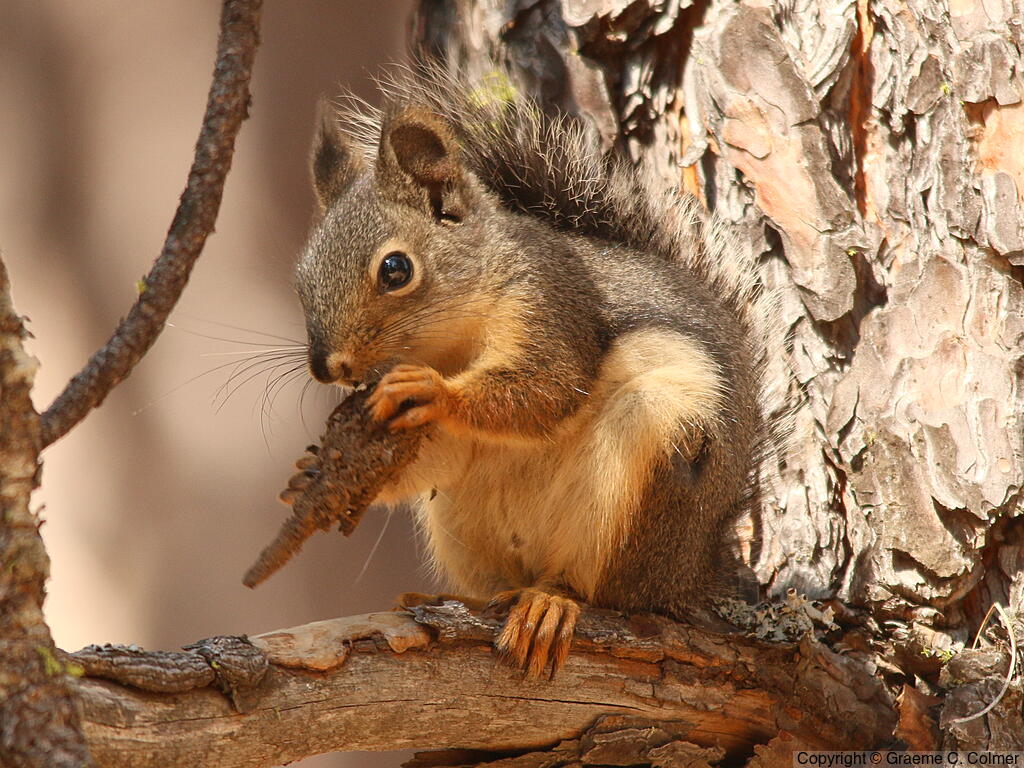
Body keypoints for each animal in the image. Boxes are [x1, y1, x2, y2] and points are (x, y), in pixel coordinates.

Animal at [294, 64, 783, 679]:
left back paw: (552, 603)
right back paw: (460, 597)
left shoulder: (550, 301)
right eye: (301, 275)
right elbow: (430, 455)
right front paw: (309, 472)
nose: (326, 367)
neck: (454, 342)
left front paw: (434, 391)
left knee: (600, 592)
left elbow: (546, 386)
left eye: (396, 269)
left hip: (652, 456)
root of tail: (687, 576)